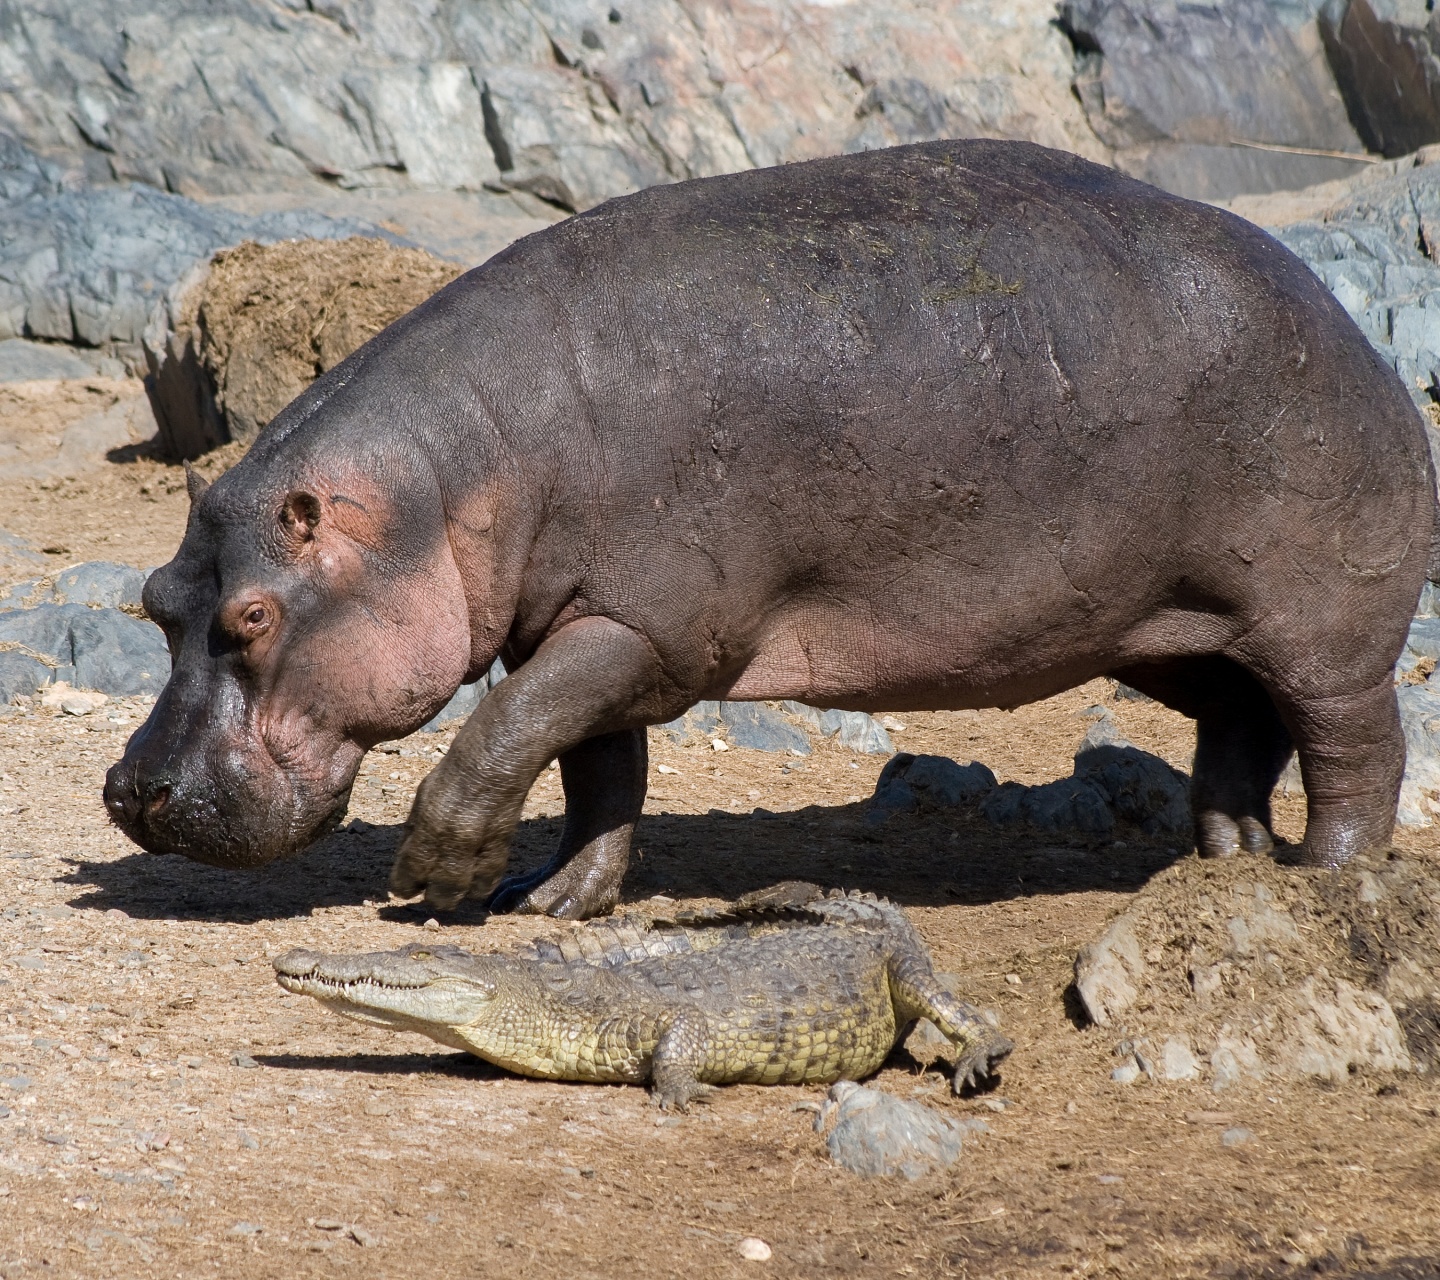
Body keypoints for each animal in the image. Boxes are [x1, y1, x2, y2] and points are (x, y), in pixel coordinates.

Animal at [101, 139, 1428, 915]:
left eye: (252, 614)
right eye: (157, 602)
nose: (129, 790)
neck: (448, 479)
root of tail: (1346, 321)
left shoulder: (644, 626)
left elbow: (506, 733)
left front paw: (439, 876)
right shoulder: (584, 624)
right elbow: (592, 767)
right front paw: (553, 898)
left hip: (1321, 626)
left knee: (1357, 743)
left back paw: (1325, 877)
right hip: (1168, 628)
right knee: (1243, 725)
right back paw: (1228, 858)